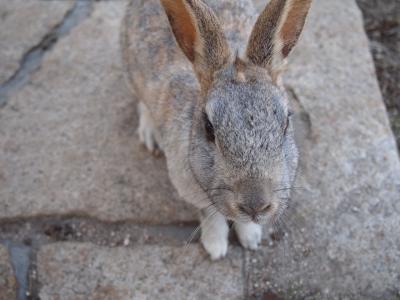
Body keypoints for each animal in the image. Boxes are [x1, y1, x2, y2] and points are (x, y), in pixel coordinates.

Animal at [120, 0, 310, 260]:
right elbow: (211, 215)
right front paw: (216, 248)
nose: (255, 204)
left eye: (286, 122)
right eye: (209, 128)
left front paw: (251, 238)